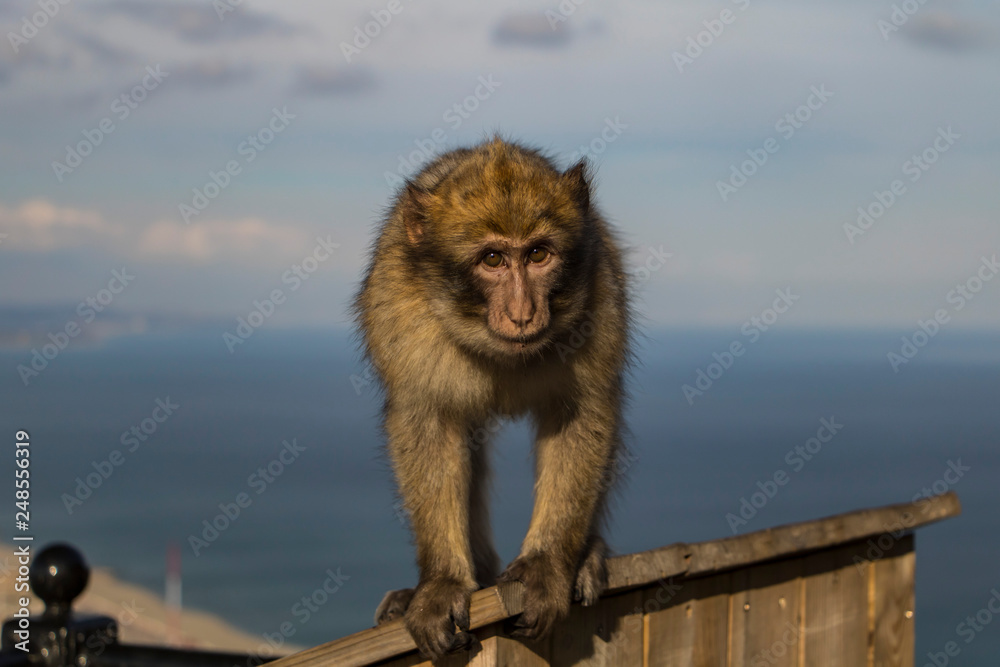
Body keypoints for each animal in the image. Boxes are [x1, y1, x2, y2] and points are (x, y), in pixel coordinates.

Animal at [354, 137, 631, 660]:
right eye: (493, 260)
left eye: (539, 254)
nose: (523, 313)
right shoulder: (403, 313)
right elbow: (430, 425)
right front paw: (442, 583)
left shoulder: (598, 296)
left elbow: (582, 412)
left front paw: (547, 566)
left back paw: (586, 555)